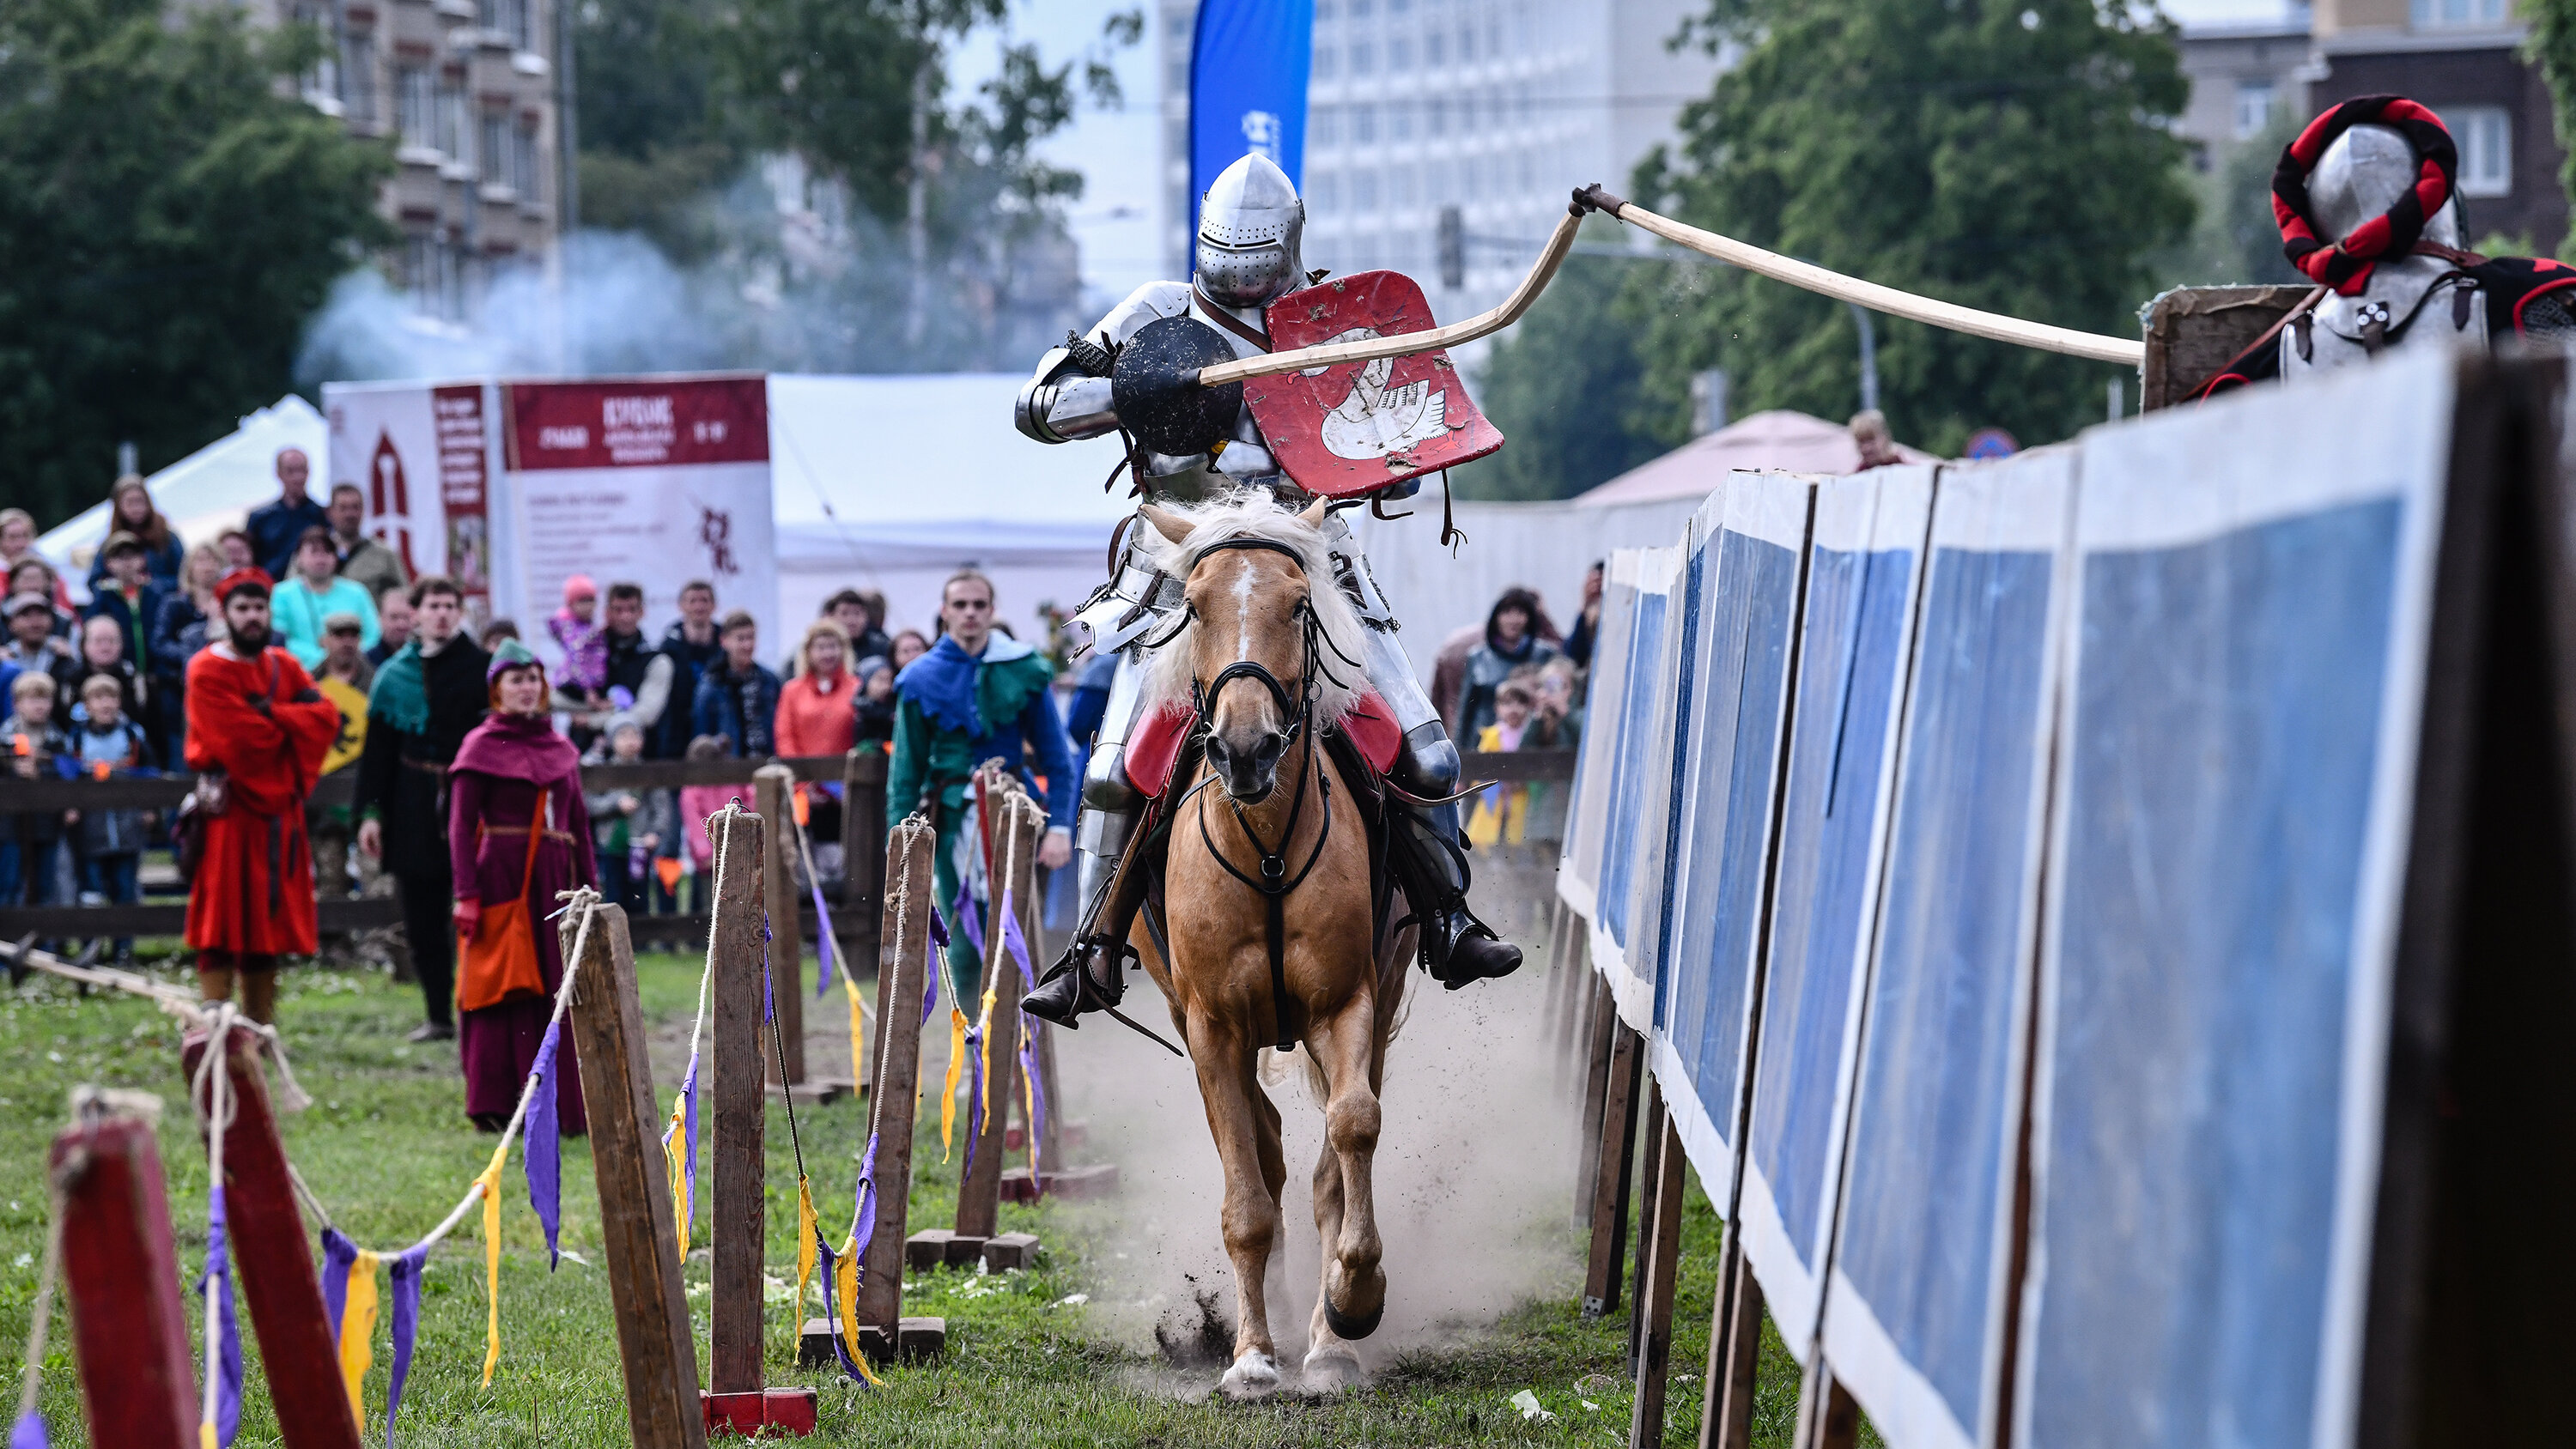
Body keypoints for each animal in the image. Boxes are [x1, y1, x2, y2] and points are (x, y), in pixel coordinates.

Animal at [1128, 496, 1412, 1390]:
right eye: (1193, 607)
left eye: (1297, 604)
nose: (1246, 749)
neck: (1268, 853)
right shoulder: (1214, 1029)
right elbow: (1248, 1198)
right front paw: (1252, 1357)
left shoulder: (1348, 1005)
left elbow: (1352, 1129)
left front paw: (1351, 1307)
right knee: (1263, 1149)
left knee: (1317, 1158)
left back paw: (1322, 1330)